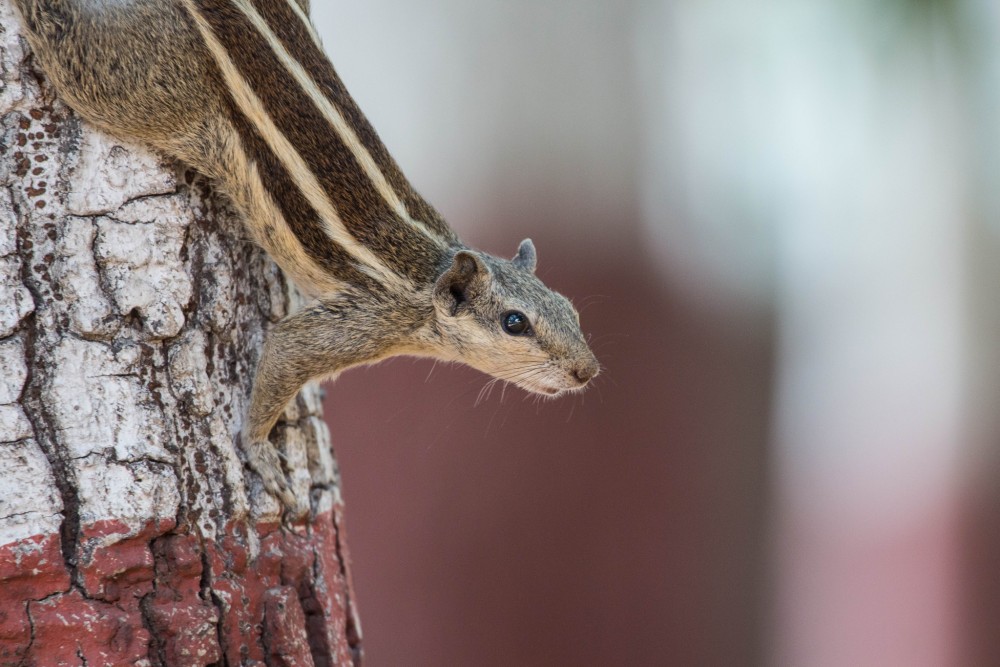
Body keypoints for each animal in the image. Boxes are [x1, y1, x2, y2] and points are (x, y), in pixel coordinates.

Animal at [9, 0, 600, 516]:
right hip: (142, 92)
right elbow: (287, 350)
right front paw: (261, 453)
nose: (588, 371)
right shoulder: (361, 320)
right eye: (515, 323)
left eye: (571, 310)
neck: (426, 276)